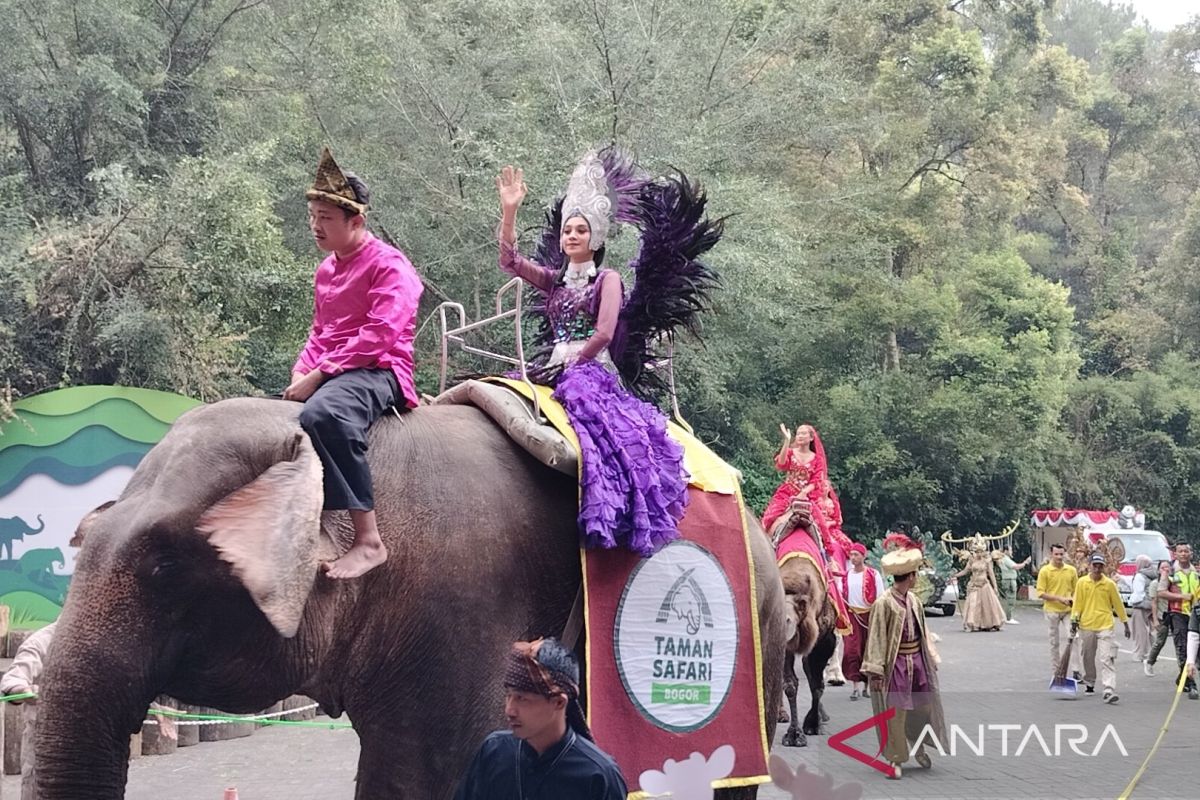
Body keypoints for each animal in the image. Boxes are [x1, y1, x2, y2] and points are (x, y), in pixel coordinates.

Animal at [772, 496, 840, 748]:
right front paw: (794, 734)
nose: (784, 622)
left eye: (801, 604)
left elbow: (816, 682)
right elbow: (790, 684)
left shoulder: (825, 636)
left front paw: (813, 724)